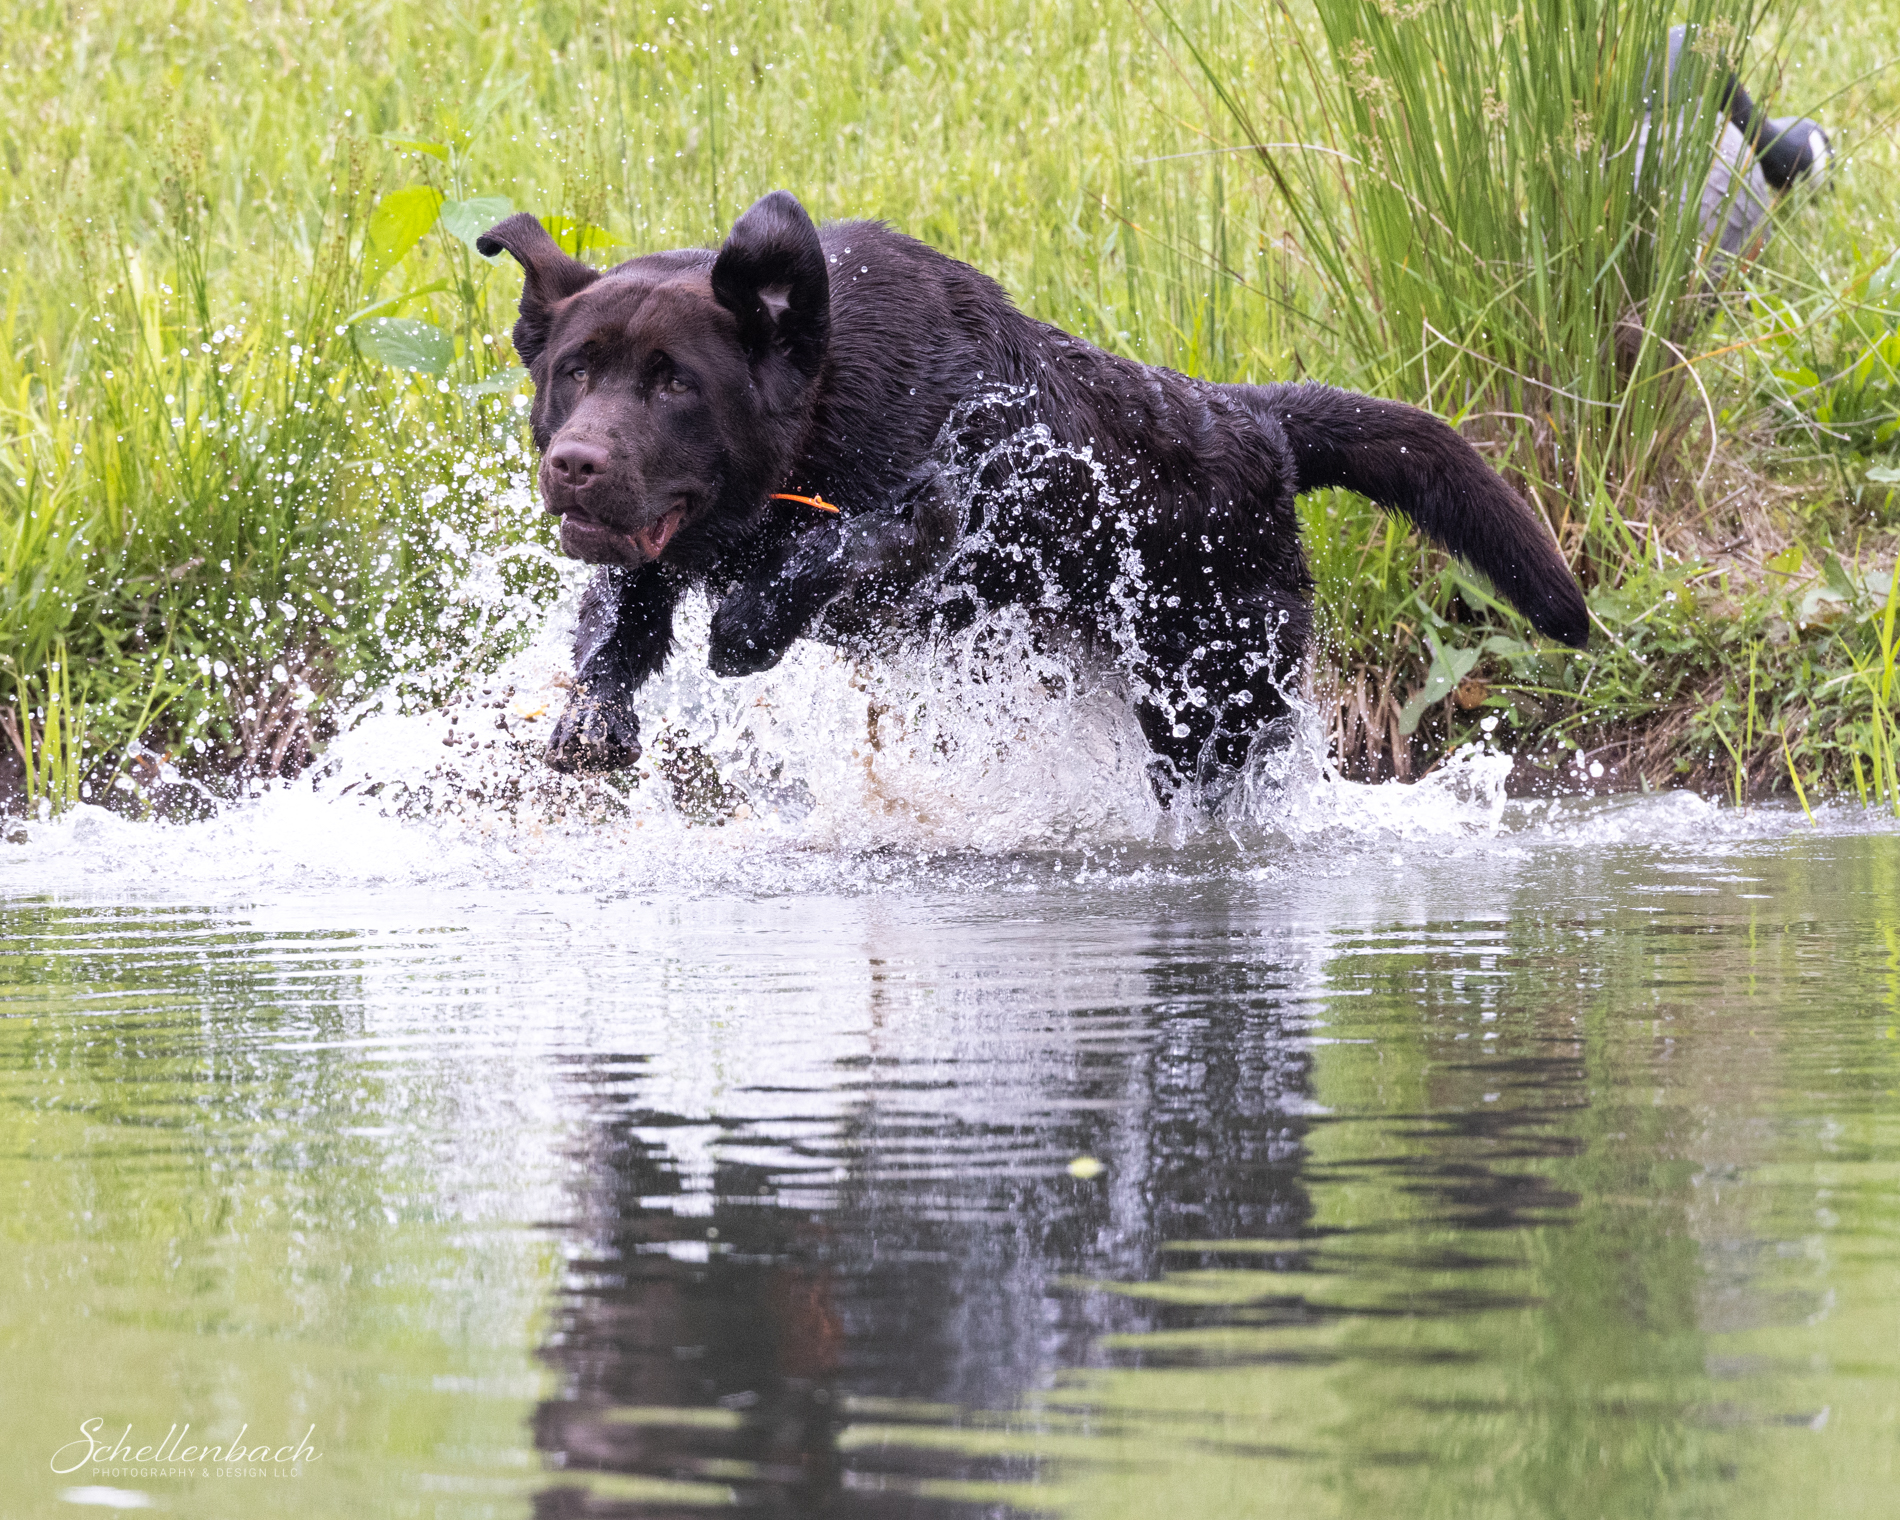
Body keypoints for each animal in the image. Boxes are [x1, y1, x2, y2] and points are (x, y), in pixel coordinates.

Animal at [477, 193, 1587, 792]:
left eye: (675, 383)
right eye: (574, 372)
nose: (574, 461)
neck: (820, 420)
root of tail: (1256, 422)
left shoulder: (944, 515)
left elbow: (843, 547)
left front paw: (750, 622)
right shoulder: (653, 554)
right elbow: (619, 620)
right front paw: (591, 716)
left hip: (1212, 696)